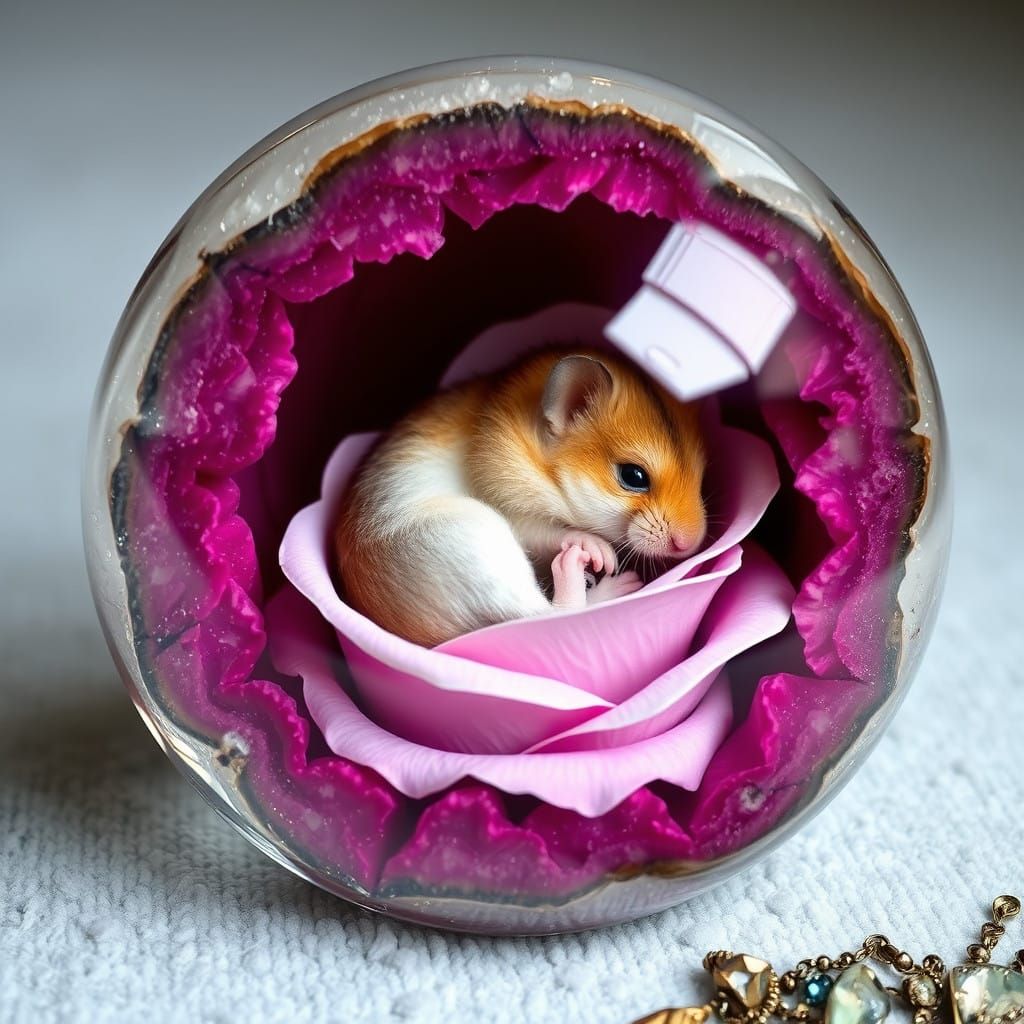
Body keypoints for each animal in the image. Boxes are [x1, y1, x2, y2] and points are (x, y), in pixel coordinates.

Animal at [334, 348, 707, 647]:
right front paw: (600, 553)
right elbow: (557, 531)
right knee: (549, 612)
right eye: (633, 476)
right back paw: (592, 573)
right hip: (481, 534)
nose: (690, 545)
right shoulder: (513, 512)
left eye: (701, 475)